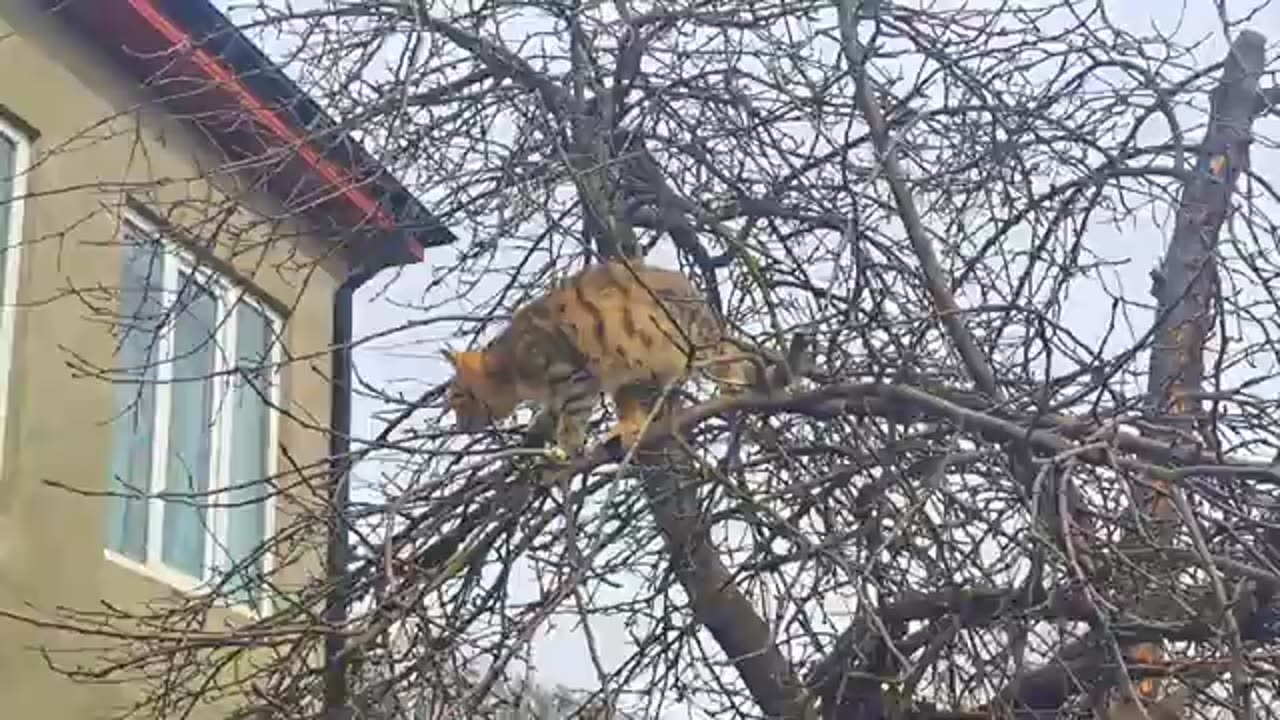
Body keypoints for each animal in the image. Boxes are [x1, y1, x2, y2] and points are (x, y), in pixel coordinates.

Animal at [445, 258, 757, 458]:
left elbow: (571, 418)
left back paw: (733, 384)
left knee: (729, 355)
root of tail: (692, 288)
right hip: (635, 372)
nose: (459, 427)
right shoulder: (561, 389)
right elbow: (550, 413)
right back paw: (629, 429)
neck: (510, 364)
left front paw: (567, 448)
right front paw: (537, 432)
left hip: (698, 339)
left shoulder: (574, 376)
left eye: (458, 398)